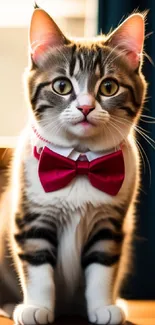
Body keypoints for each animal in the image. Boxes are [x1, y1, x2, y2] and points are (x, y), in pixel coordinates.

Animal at [7, 7, 147, 324]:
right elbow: (38, 267)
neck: (81, 163)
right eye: (62, 86)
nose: (85, 107)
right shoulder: (31, 215)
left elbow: (102, 268)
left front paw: (102, 307)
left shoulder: (110, 222)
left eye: (108, 87)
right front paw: (37, 307)